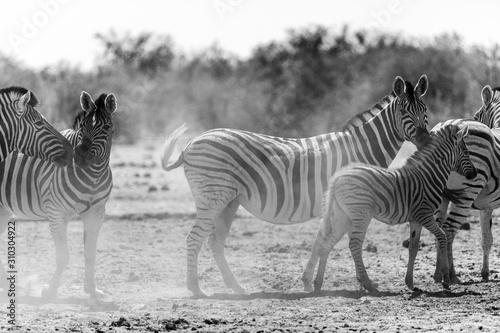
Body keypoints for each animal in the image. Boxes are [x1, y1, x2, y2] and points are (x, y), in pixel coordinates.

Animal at [0, 91, 116, 308]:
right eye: (82, 126)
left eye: (106, 128)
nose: (78, 155)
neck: (93, 176)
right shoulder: (56, 213)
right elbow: (63, 256)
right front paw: (50, 290)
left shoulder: (96, 213)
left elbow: (90, 254)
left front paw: (92, 291)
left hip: (2, 210)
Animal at [160, 74, 430, 294]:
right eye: (404, 111)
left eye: (425, 110)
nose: (425, 139)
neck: (359, 148)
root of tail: (191, 143)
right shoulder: (344, 202)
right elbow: (325, 239)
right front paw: (314, 281)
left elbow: (321, 239)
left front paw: (309, 281)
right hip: (212, 197)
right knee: (194, 238)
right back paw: (195, 288)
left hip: (228, 200)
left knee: (215, 241)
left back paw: (235, 286)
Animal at [300, 123, 476, 292]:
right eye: (466, 152)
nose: (474, 174)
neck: (429, 176)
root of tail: (338, 177)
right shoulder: (424, 214)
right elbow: (442, 237)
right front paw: (446, 280)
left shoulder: (415, 219)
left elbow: (413, 247)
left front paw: (410, 282)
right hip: (361, 214)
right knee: (354, 245)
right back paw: (368, 284)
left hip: (343, 217)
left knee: (327, 245)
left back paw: (318, 284)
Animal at [432, 85, 500, 282]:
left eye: (477, 115)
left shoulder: (486, 206)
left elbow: (487, 239)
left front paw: (485, 273)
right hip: (467, 192)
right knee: (448, 229)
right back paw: (449, 275)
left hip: (440, 193)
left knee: (439, 230)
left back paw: (440, 274)